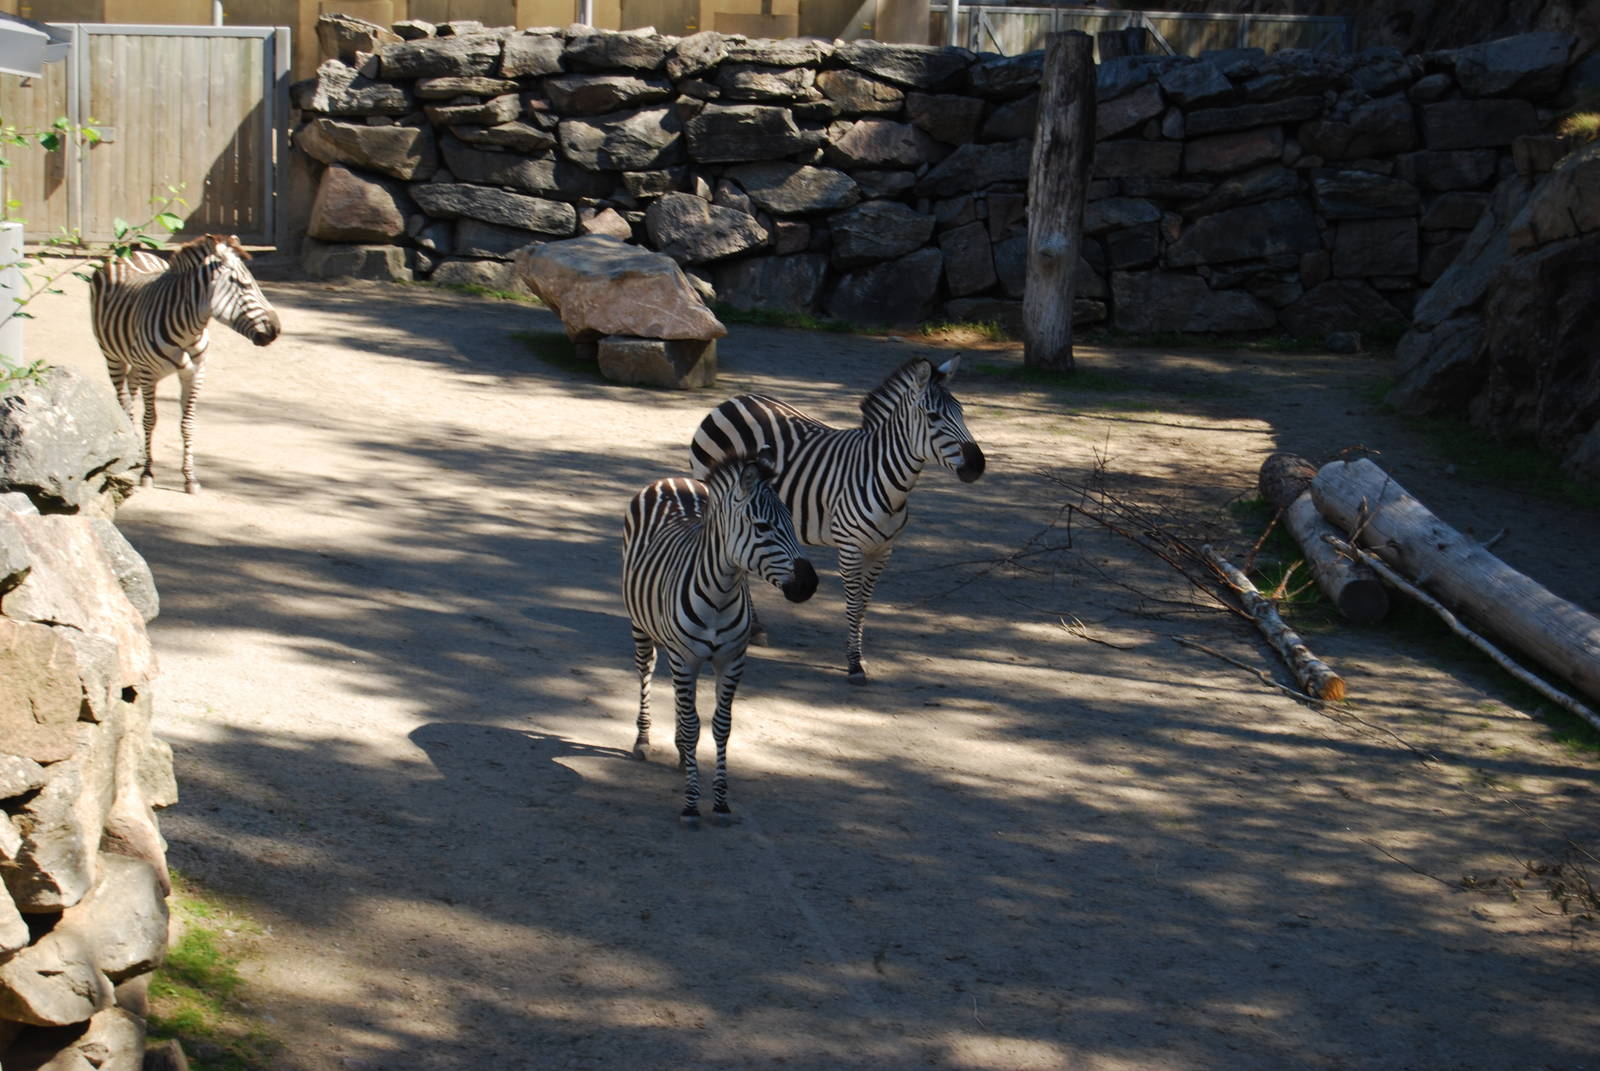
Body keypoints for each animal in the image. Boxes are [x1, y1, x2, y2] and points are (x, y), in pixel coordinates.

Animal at [89, 233, 281, 494]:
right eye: (244, 285)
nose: (276, 330)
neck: (188, 331)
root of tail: (130, 252)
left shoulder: (195, 373)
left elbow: (188, 424)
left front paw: (190, 477)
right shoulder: (149, 373)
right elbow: (150, 420)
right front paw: (148, 472)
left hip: (135, 362)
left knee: (131, 387)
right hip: (112, 356)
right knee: (124, 400)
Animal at [622, 447, 818, 820]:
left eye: (792, 521)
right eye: (763, 527)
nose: (809, 584)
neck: (721, 593)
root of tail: (671, 479)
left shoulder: (731, 660)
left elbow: (720, 726)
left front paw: (721, 800)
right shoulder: (685, 658)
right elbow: (693, 725)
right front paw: (690, 803)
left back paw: (681, 753)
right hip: (641, 627)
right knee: (645, 674)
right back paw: (643, 740)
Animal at [689, 355, 985, 685]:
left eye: (961, 411)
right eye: (933, 417)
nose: (978, 465)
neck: (883, 477)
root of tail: (733, 399)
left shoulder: (883, 550)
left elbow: (864, 604)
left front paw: (856, 653)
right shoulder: (850, 548)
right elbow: (853, 604)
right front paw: (854, 663)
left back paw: (755, 627)